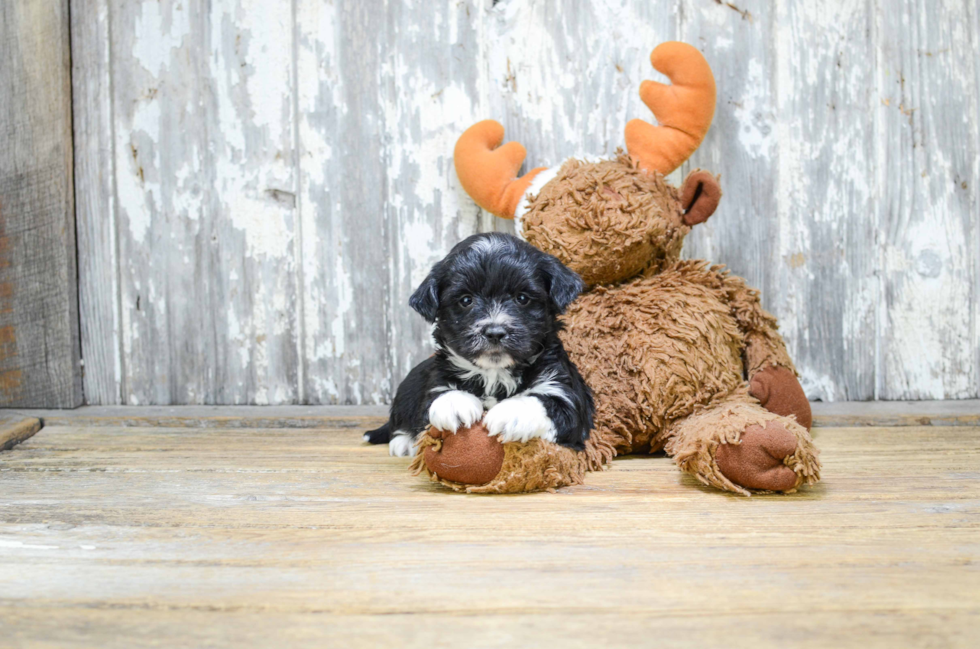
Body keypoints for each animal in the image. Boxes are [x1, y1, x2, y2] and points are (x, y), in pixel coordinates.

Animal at [364, 233, 592, 456]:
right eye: (466, 300)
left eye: (522, 298)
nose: (495, 332)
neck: (494, 374)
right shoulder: (437, 381)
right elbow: (434, 399)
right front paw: (454, 402)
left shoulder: (564, 391)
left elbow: (548, 403)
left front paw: (512, 412)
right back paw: (403, 443)